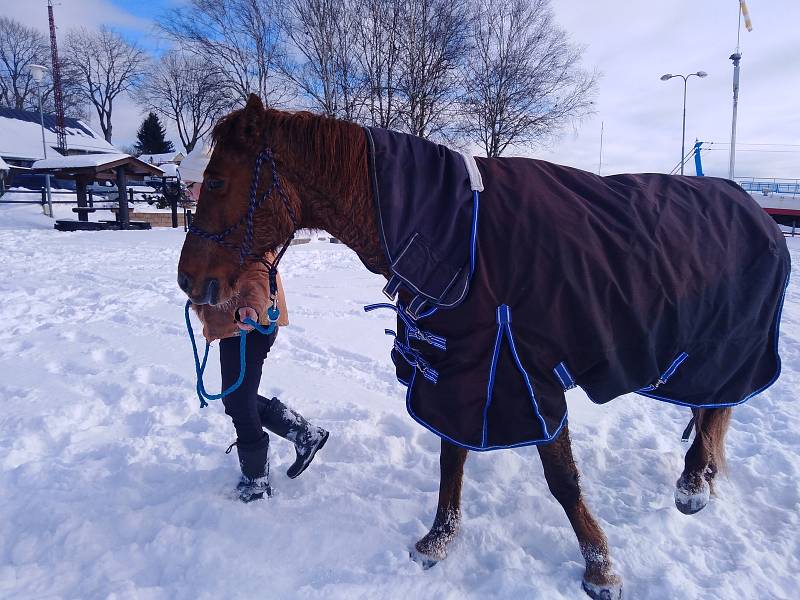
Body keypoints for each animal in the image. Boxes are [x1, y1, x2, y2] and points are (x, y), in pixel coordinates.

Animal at [175, 95, 788, 600]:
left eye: (219, 183)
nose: (189, 282)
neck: (458, 237)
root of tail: (758, 211)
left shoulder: (521, 374)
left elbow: (562, 480)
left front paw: (600, 568)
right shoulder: (464, 372)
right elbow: (452, 459)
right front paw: (438, 540)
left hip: (724, 348)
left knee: (715, 409)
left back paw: (692, 485)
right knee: (713, 410)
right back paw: (699, 479)